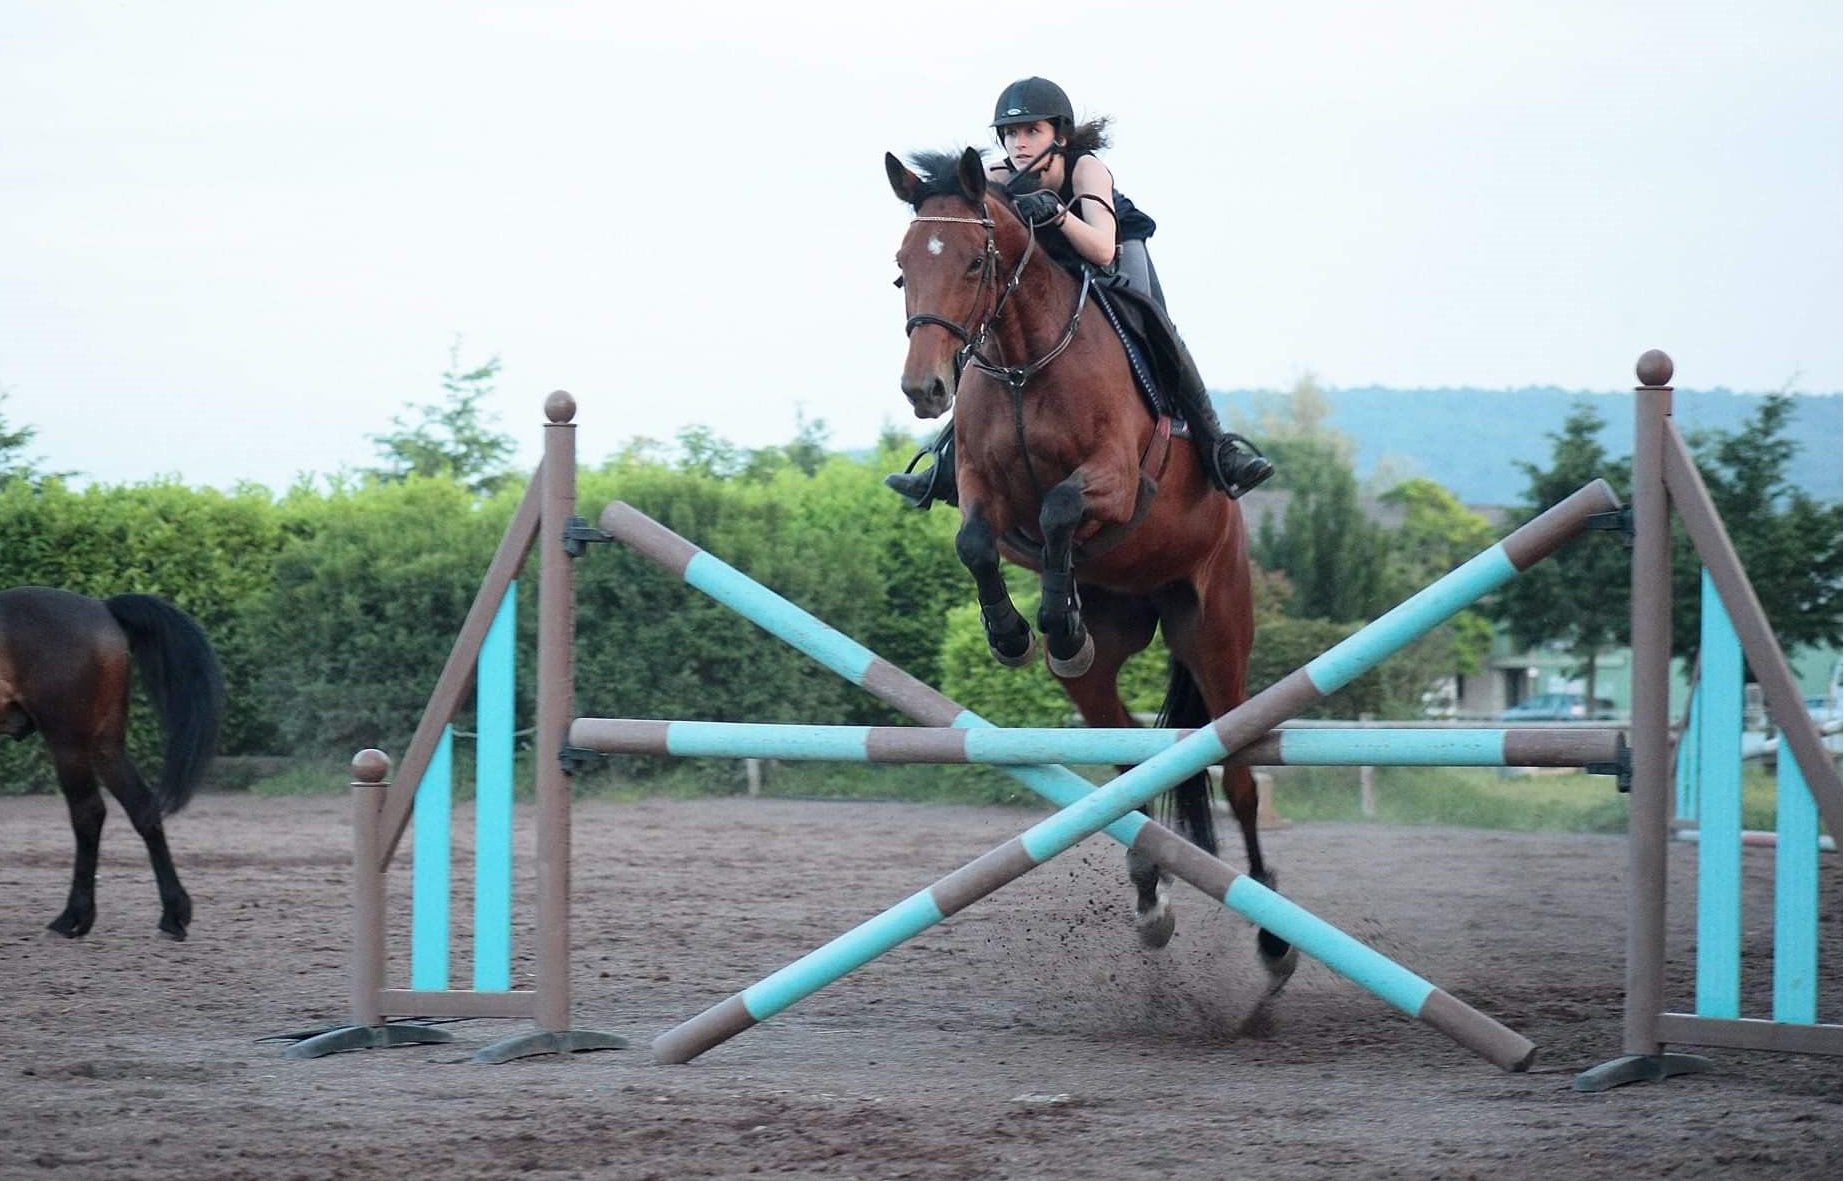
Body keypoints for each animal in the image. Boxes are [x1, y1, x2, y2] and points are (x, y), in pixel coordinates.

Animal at [0, 587, 224, 939]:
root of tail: (102, 608)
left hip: (69, 743)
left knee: (89, 813)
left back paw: (73, 917)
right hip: (105, 745)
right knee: (142, 807)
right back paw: (173, 914)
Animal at [885, 146, 1294, 981]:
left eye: (974, 261)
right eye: (901, 268)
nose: (924, 389)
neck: (1019, 363)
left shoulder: (1115, 477)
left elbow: (1061, 509)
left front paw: (1050, 618)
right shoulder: (978, 486)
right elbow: (977, 542)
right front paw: (1019, 633)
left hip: (1217, 632)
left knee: (1239, 780)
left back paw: (1272, 940)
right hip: (1120, 642)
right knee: (1123, 754)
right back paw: (1150, 899)